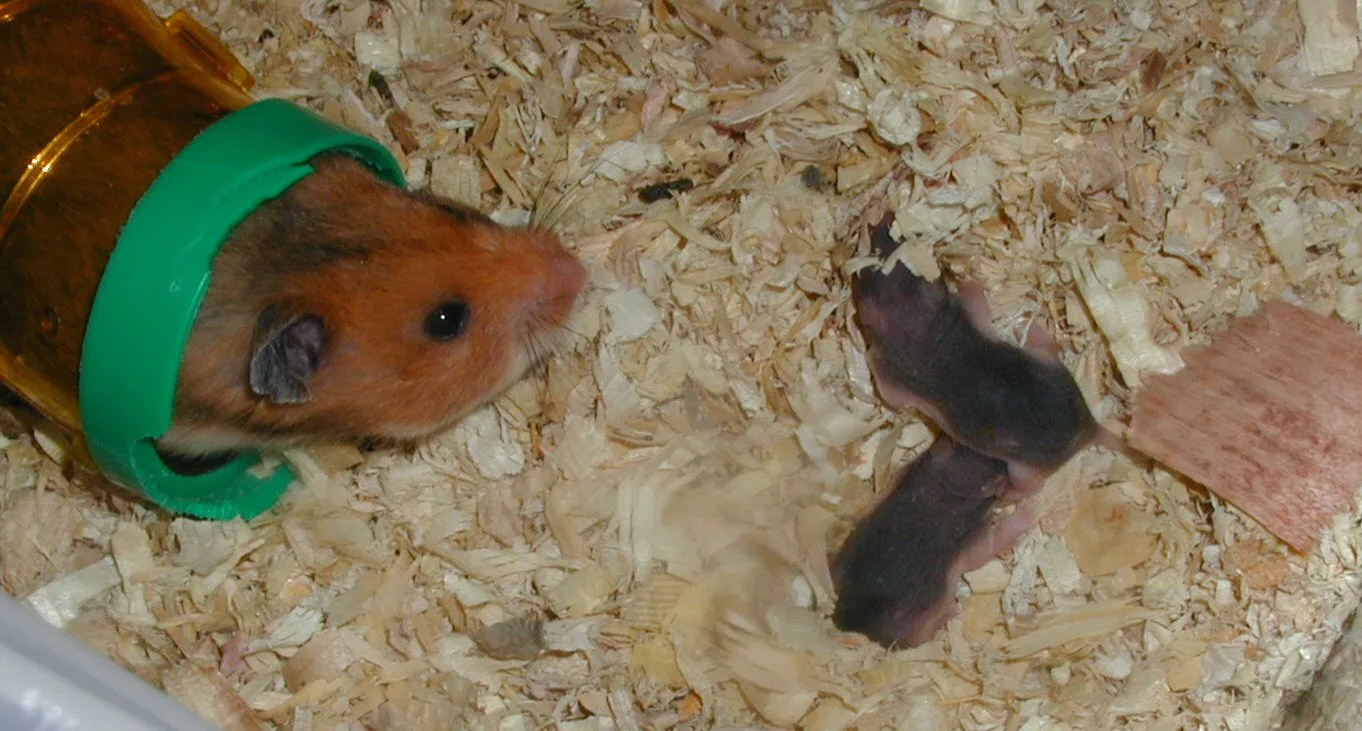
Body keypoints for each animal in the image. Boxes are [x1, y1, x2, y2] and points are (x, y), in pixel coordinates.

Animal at [831, 435, 1036, 649]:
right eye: (1003, 473)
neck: (950, 488)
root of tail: (854, 620)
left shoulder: (901, 477)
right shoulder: (978, 540)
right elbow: (996, 541)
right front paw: (1031, 511)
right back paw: (954, 611)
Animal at [852, 212, 1105, 496]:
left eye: (864, 272)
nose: (885, 216)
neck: (926, 327)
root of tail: (1089, 427)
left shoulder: (892, 374)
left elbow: (891, 395)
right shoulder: (965, 312)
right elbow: (976, 297)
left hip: (1023, 468)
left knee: (1030, 485)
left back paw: (1008, 494)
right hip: (1049, 363)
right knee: (1049, 349)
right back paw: (1036, 332)